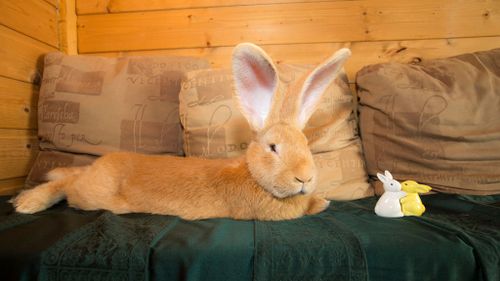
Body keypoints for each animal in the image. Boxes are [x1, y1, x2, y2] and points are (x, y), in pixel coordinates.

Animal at [8, 42, 352, 220]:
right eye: (273, 148)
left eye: (306, 144)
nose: (305, 178)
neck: (253, 176)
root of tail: (98, 165)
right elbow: (303, 208)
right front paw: (321, 203)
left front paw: (321, 198)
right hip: (91, 195)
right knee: (68, 185)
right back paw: (27, 202)